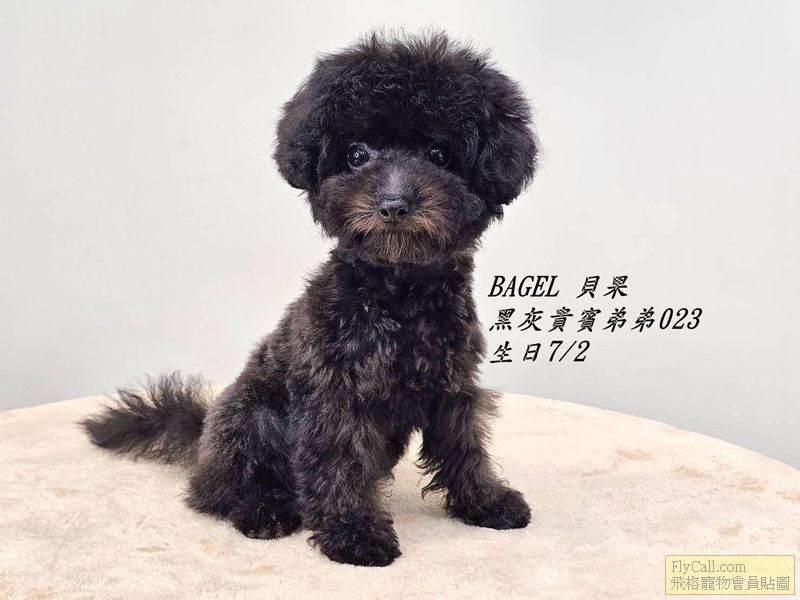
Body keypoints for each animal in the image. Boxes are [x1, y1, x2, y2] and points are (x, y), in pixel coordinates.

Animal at [82, 31, 538, 567]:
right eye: (357, 155)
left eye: (439, 155)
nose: (394, 205)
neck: (399, 296)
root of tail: (202, 435)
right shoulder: (333, 392)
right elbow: (338, 461)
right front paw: (355, 533)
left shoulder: (453, 384)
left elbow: (465, 447)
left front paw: (486, 502)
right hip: (252, 414)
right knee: (222, 491)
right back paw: (265, 512)